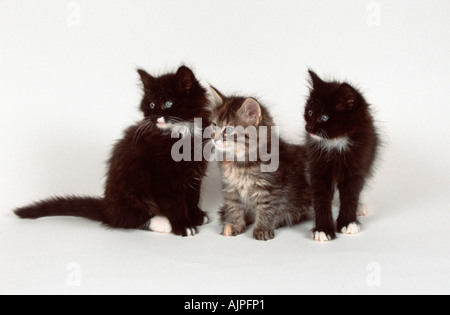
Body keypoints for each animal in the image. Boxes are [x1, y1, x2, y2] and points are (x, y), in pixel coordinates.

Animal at [14, 66, 211, 237]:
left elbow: (193, 197)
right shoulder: (163, 177)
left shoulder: (195, 172)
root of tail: (107, 207)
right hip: (132, 190)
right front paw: (183, 226)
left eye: (168, 103)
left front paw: (195, 216)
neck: (183, 132)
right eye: (151, 104)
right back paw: (161, 222)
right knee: (124, 219)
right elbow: (174, 203)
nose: (155, 116)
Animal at [209, 87, 312, 241]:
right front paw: (234, 225)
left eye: (228, 130)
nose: (214, 139)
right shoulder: (230, 187)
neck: (239, 163)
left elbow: (266, 210)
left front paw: (262, 229)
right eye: (214, 125)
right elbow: (234, 207)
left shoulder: (270, 188)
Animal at [302, 69, 380, 242]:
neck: (336, 144)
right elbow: (321, 198)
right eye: (309, 112)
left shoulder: (357, 164)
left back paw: (361, 206)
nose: (308, 127)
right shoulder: (318, 167)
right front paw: (323, 229)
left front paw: (348, 222)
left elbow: (351, 195)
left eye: (324, 117)